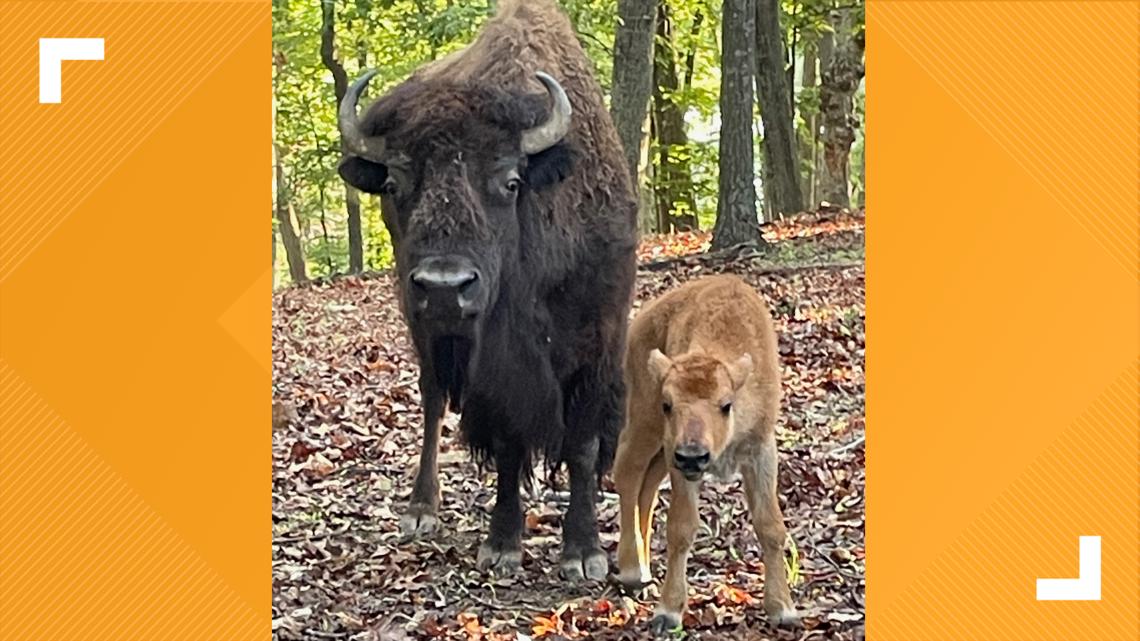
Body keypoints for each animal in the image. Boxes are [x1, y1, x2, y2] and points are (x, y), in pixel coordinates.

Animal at [336, 0, 637, 581]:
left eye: (510, 181)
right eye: (394, 184)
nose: (445, 287)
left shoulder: (598, 341)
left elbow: (583, 445)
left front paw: (583, 552)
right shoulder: (491, 367)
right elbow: (508, 442)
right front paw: (503, 544)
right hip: (422, 327)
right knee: (432, 399)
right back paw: (421, 510)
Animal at [612, 276, 798, 633]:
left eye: (726, 405)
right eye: (667, 404)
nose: (693, 455)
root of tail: (643, 317)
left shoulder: (761, 449)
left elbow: (770, 526)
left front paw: (783, 610)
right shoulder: (679, 460)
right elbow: (681, 527)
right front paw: (668, 612)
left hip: (663, 453)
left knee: (647, 489)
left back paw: (644, 567)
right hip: (646, 427)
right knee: (628, 474)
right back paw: (632, 571)